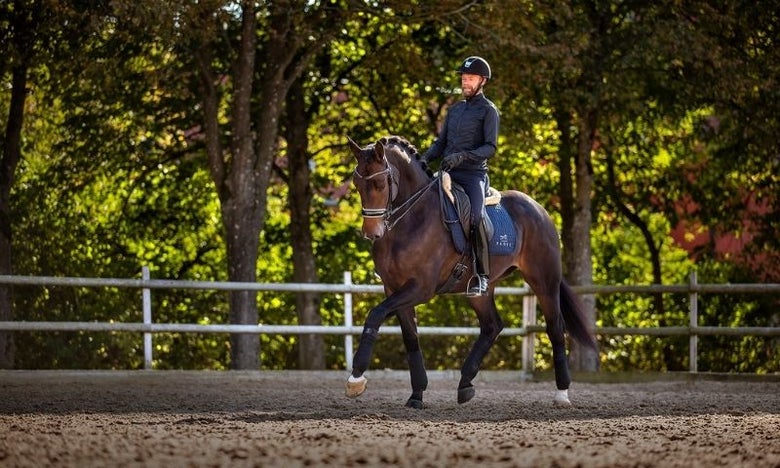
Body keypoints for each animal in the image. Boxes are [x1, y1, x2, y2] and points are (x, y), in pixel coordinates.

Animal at [344, 133, 596, 408]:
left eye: (380, 183)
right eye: (357, 183)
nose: (372, 233)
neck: (409, 221)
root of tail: (539, 209)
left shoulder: (420, 288)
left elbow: (375, 315)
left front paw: (356, 377)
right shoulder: (393, 288)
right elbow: (410, 337)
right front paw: (417, 394)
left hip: (544, 281)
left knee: (555, 328)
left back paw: (562, 393)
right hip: (480, 289)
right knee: (491, 326)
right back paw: (465, 384)